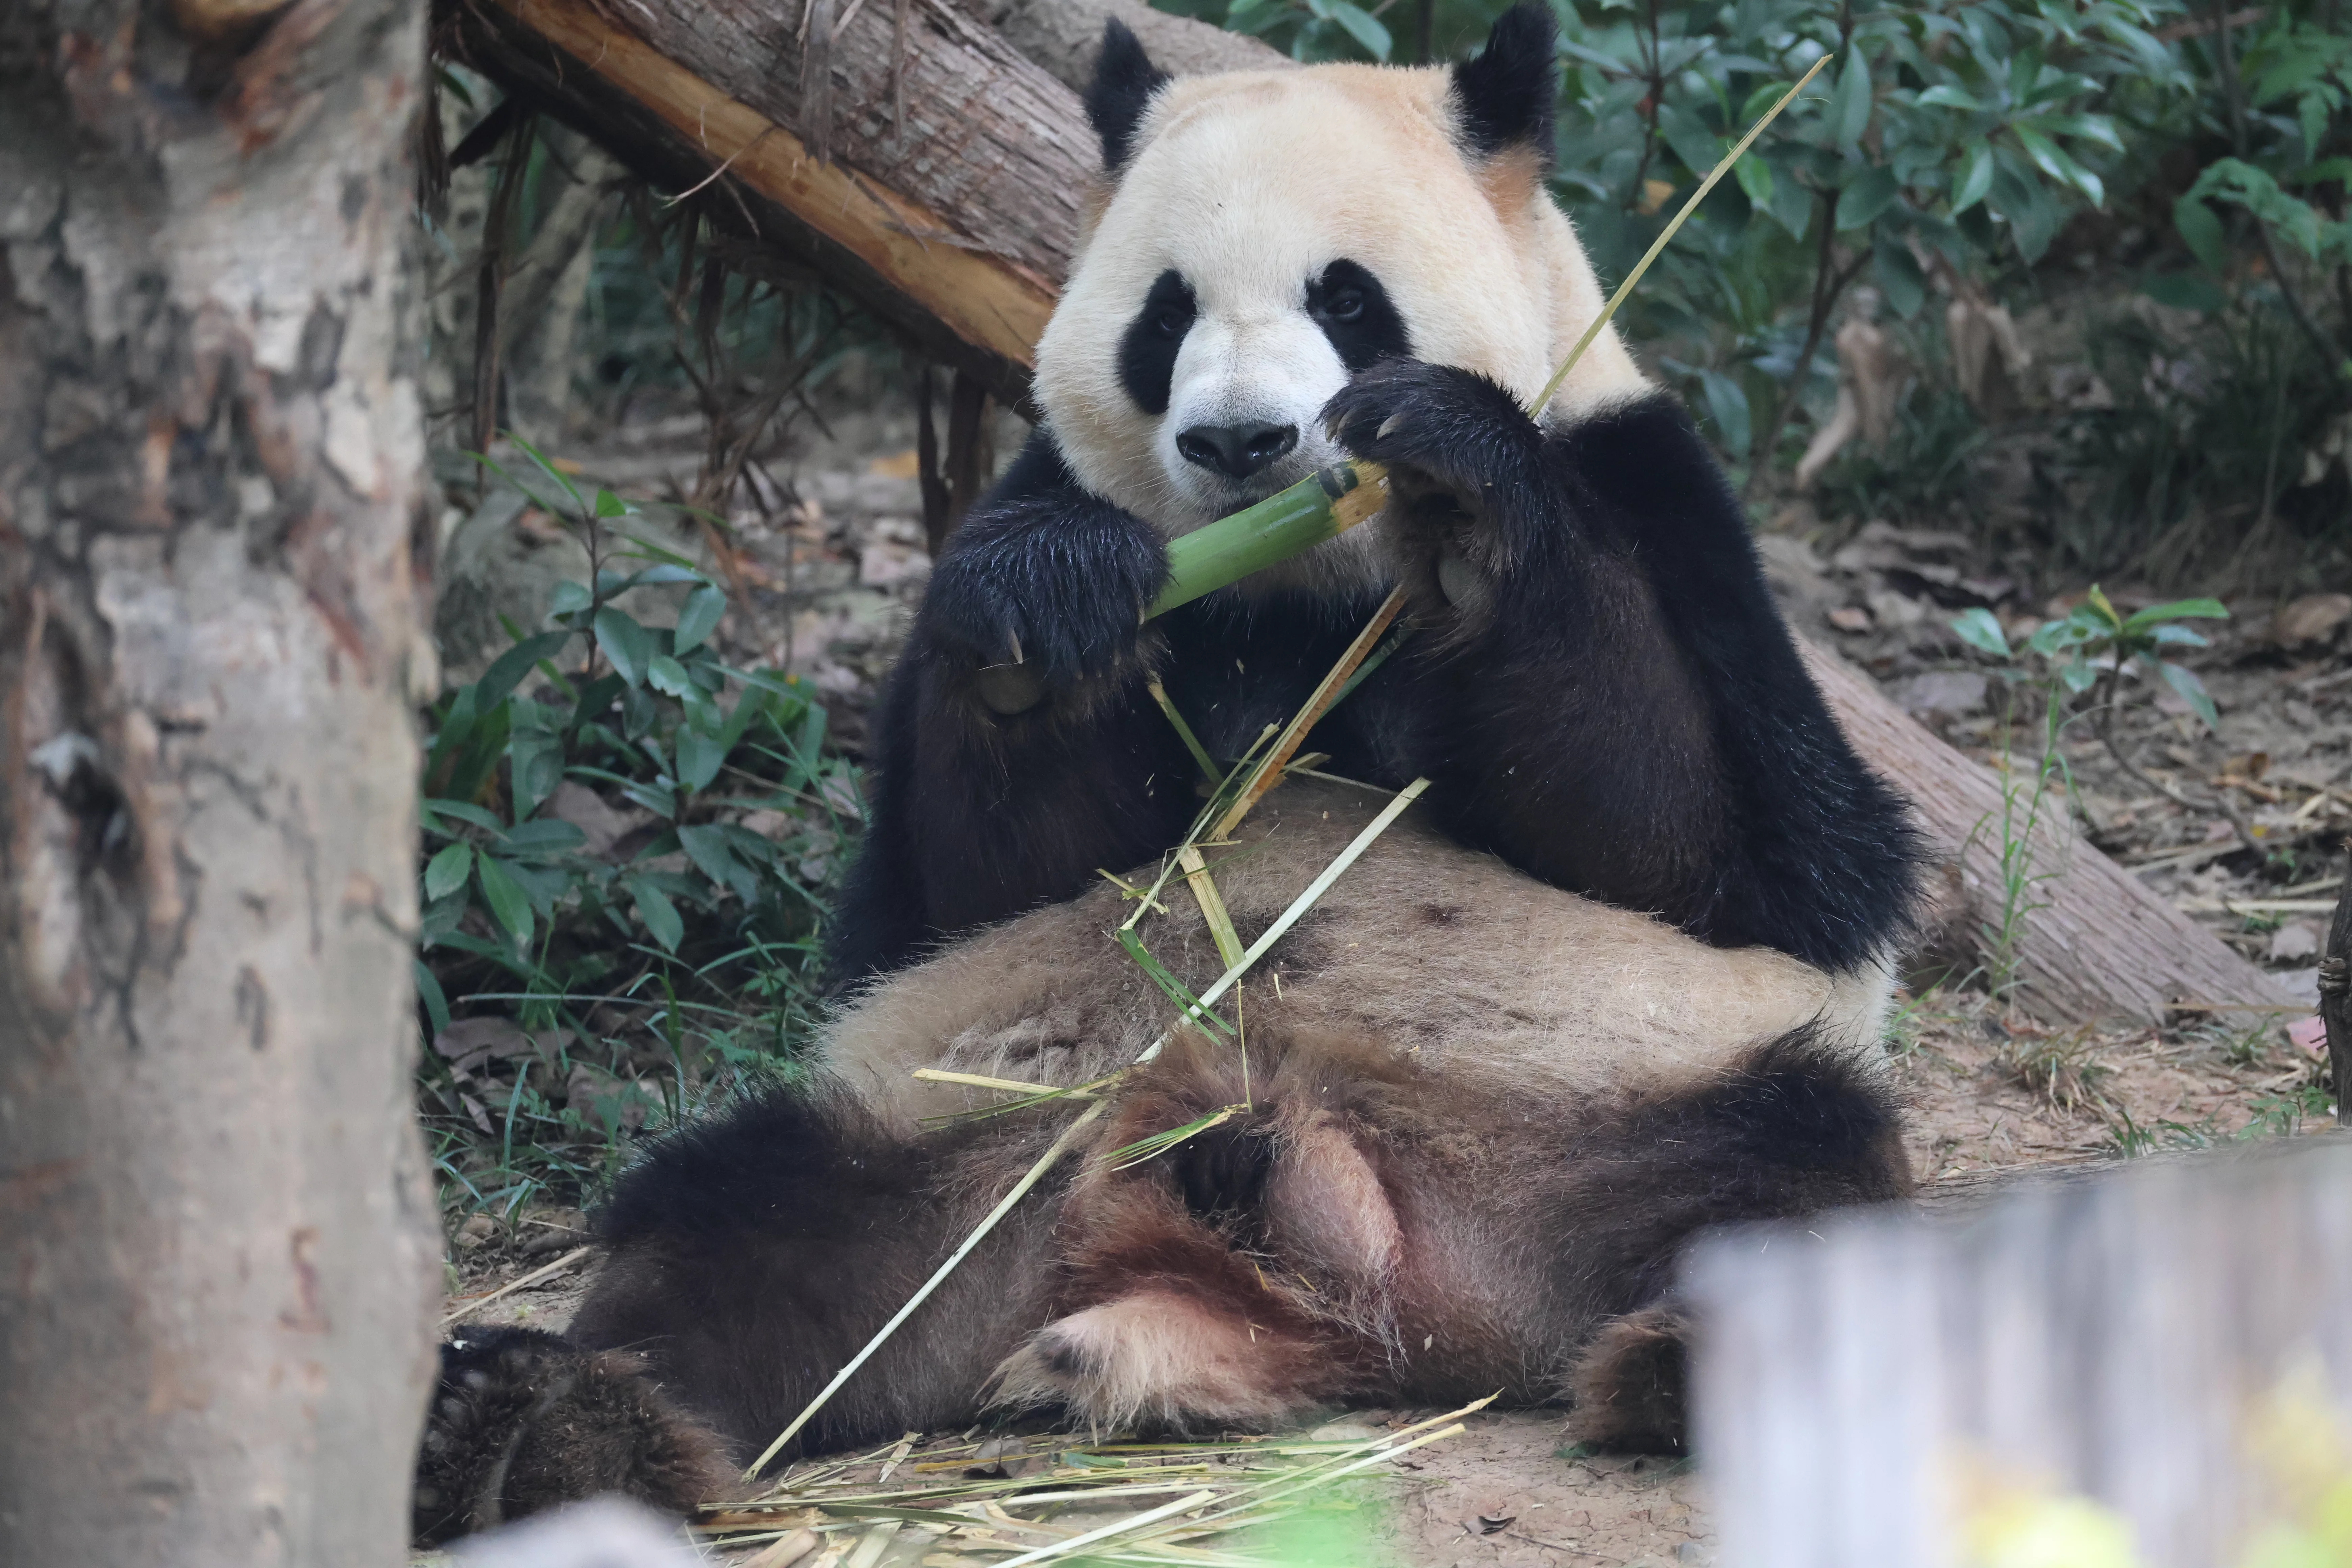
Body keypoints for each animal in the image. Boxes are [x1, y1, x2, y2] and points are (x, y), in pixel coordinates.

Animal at [410, 9, 1926, 1541]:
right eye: (1165, 314)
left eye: (1348, 301)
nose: (1240, 442)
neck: (1295, 578)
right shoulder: (1046, 511)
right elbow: (950, 882)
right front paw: (1045, 617)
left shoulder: (1651, 486)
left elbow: (1747, 849)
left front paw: (1462, 482)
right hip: (963, 1146)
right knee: (728, 1219)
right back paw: (541, 1420)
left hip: (1613, 1107)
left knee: (1791, 1183)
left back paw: (1694, 1364)